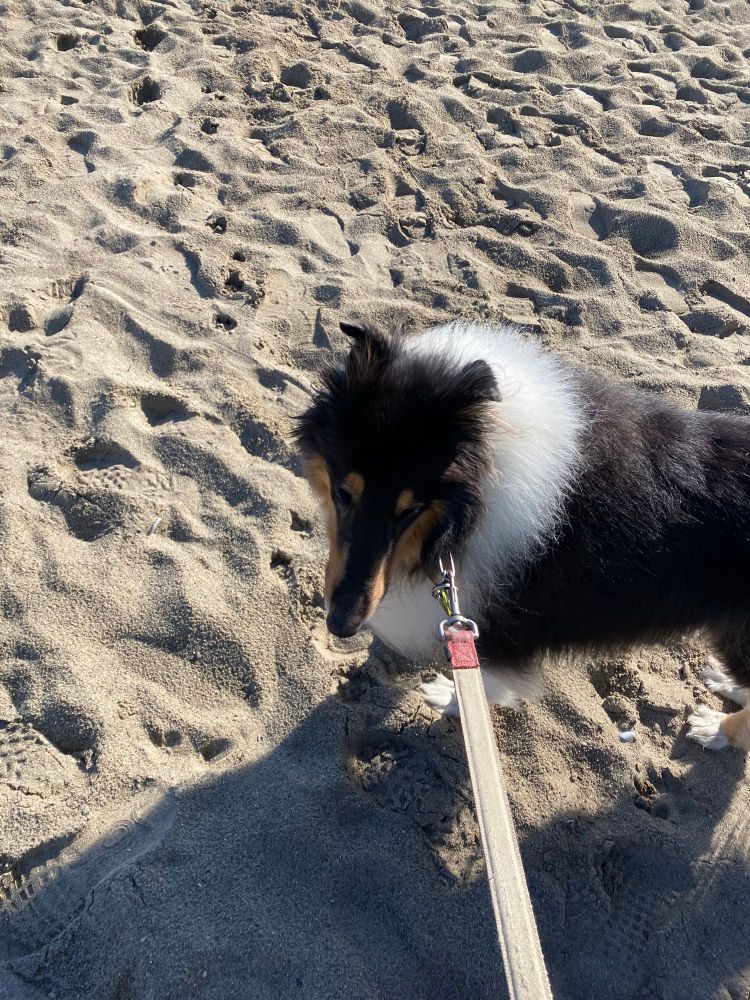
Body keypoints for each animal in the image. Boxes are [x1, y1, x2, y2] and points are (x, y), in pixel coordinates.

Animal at [294, 319, 750, 751]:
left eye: (409, 510)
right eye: (343, 493)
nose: (341, 626)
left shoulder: (500, 628)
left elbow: (483, 681)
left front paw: (451, 697)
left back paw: (716, 729)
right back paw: (727, 684)